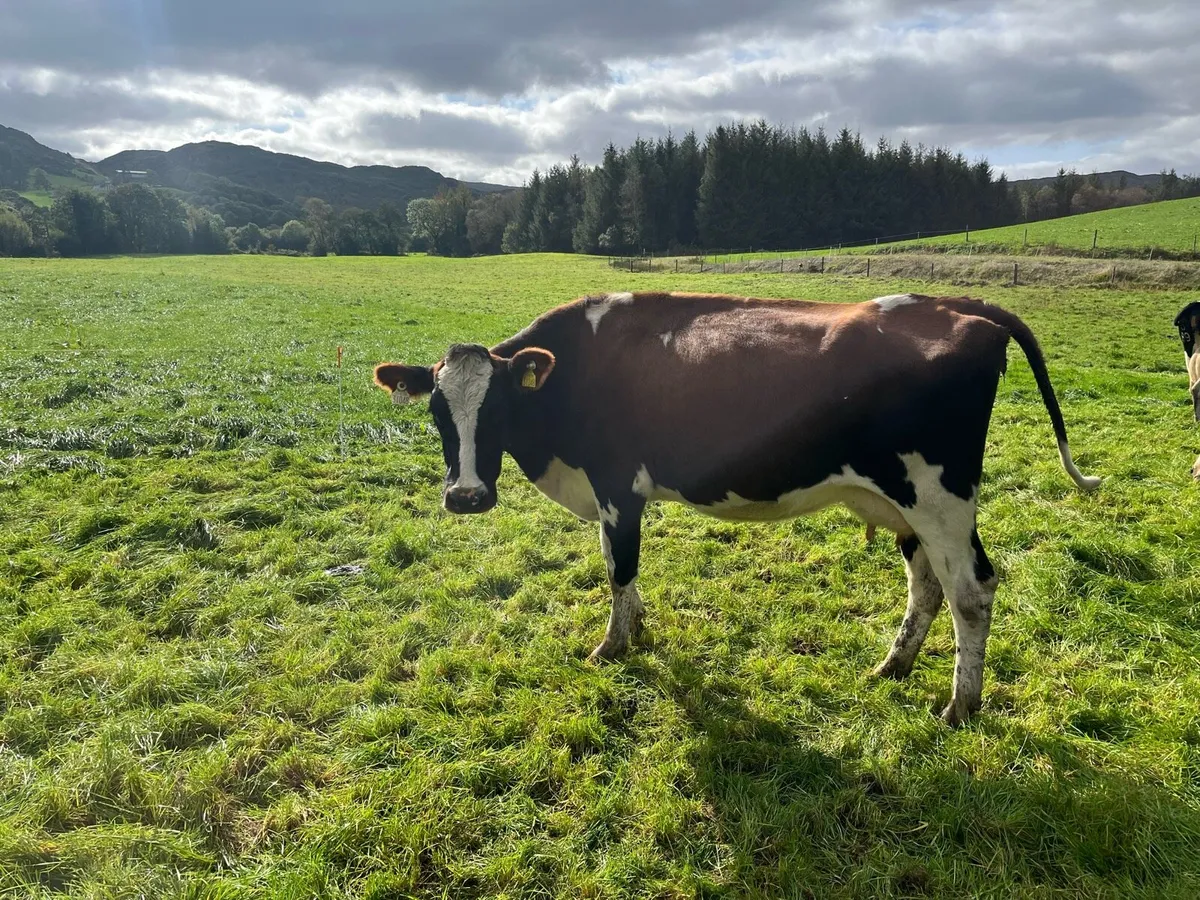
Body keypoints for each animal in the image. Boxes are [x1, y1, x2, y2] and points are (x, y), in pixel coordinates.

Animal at [374, 291, 1100, 725]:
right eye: (438, 413)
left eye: (497, 409)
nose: (466, 496)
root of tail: (957, 308)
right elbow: (619, 568)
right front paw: (638, 628)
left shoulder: (617, 486)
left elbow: (619, 569)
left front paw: (612, 646)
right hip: (906, 505)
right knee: (926, 585)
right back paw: (894, 665)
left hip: (941, 497)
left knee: (971, 592)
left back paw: (961, 705)